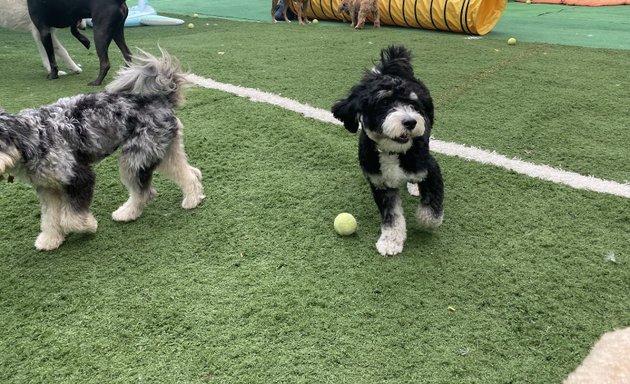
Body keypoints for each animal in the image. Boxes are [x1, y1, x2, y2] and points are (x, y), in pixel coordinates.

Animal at [0, 48, 205, 252]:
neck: (34, 137)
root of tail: (162, 99)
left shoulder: (79, 177)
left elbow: (70, 218)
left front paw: (88, 225)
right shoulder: (48, 188)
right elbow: (49, 217)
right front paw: (50, 239)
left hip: (136, 158)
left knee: (143, 192)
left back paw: (127, 213)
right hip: (162, 151)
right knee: (189, 172)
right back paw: (193, 198)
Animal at [336, 45, 444, 258]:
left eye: (414, 105)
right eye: (384, 103)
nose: (411, 122)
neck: (392, 152)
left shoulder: (431, 169)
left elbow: (432, 206)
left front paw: (425, 220)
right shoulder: (381, 184)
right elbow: (392, 216)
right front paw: (390, 241)